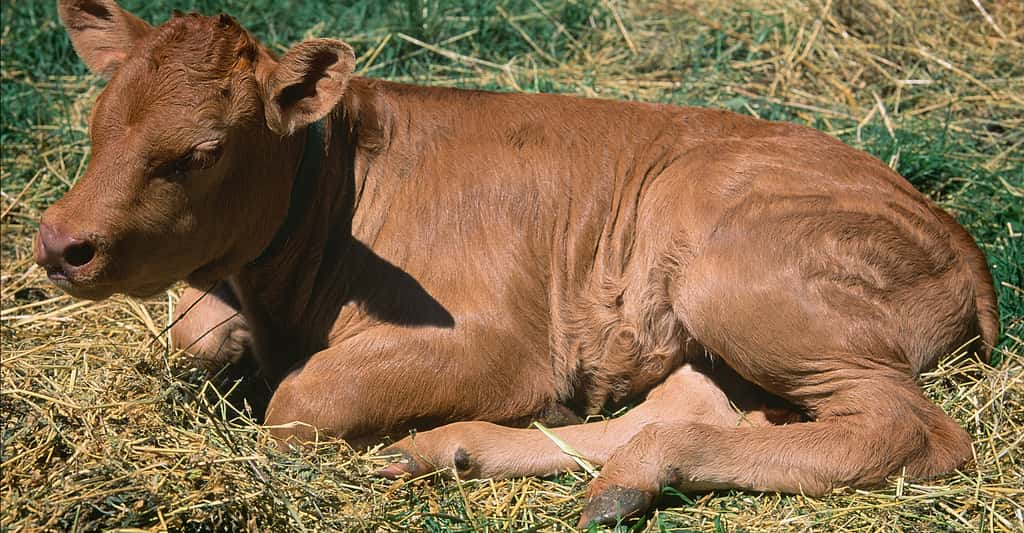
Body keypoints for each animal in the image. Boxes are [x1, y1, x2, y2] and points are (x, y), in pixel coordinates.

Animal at [39, 0, 999, 523]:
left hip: (734, 278)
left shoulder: (497, 341)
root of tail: (962, 241)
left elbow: (300, 400)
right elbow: (194, 335)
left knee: (909, 429)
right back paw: (479, 454)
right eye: (96, 120)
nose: (59, 243)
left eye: (201, 151)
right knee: (684, 406)